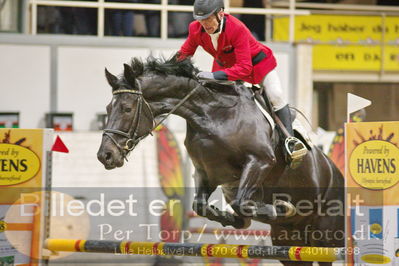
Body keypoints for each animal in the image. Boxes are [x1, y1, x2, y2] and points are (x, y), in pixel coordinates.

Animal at [97, 55, 344, 264]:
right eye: (108, 108)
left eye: (127, 108)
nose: (104, 155)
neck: (210, 114)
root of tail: (335, 170)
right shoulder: (206, 172)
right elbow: (201, 206)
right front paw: (232, 219)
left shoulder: (260, 161)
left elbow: (241, 202)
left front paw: (281, 207)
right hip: (289, 241)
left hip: (327, 237)